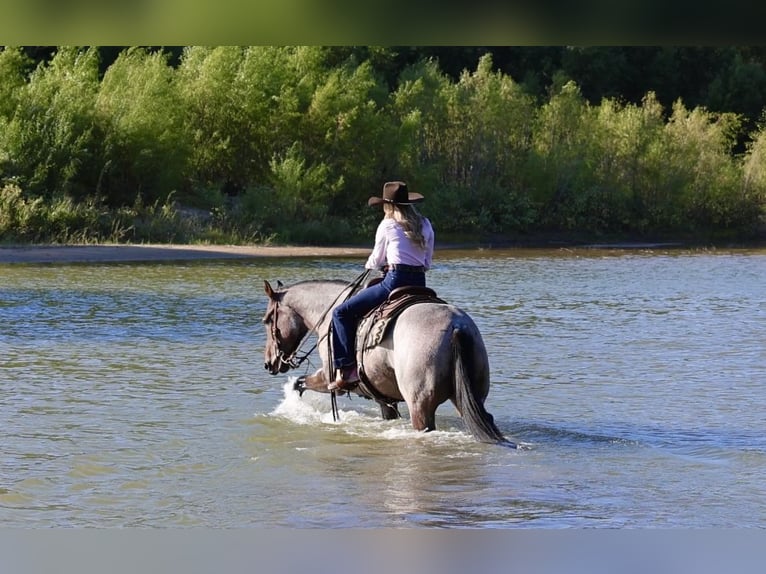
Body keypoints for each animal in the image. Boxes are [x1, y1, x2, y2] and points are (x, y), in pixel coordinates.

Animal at [262, 277, 514, 446]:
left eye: (266, 320)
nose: (269, 363)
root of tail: (456, 326)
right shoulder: (385, 400)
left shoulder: (328, 377)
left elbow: (300, 383)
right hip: (470, 397)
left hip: (420, 406)